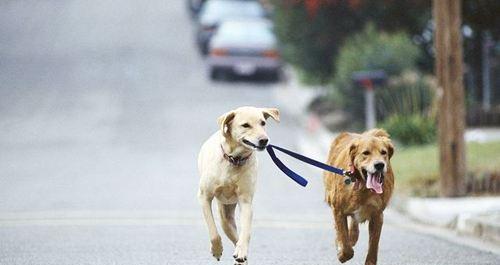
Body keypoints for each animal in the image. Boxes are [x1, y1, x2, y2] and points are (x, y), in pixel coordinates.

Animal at [197, 105, 280, 264]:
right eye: (245, 125)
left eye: (263, 123)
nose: (264, 140)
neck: (234, 159)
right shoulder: (204, 197)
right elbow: (213, 231)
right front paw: (217, 250)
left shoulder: (246, 201)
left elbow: (245, 232)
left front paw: (241, 251)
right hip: (224, 218)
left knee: (237, 238)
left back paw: (241, 256)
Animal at [324, 128, 394, 264]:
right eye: (366, 153)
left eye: (383, 152)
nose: (379, 165)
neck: (363, 187)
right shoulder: (338, 210)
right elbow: (344, 239)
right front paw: (342, 253)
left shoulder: (377, 215)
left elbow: (373, 246)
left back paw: (353, 236)